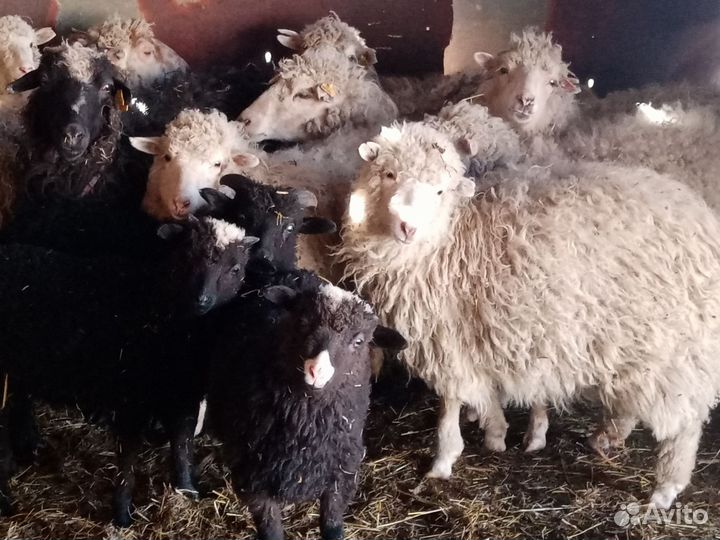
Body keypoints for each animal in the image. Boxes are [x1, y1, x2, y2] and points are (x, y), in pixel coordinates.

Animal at [0, 214, 259, 525]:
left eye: (235, 269)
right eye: (186, 256)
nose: (203, 299)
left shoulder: (183, 395)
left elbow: (182, 445)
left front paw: (188, 489)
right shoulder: (129, 397)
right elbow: (128, 458)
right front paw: (123, 513)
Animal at [206, 268, 406, 540]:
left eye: (359, 341)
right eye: (302, 323)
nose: (316, 370)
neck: (306, 435)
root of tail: (286, 272)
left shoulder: (339, 481)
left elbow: (333, 528)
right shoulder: (255, 486)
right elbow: (272, 532)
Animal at [335, 121, 720, 510]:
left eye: (440, 190)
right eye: (389, 174)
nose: (407, 228)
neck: (452, 238)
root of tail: (704, 222)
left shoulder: (447, 334)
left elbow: (450, 402)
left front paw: (444, 458)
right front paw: (497, 431)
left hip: (673, 349)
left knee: (684, 423)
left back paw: (665, 487)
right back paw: (606, 438)